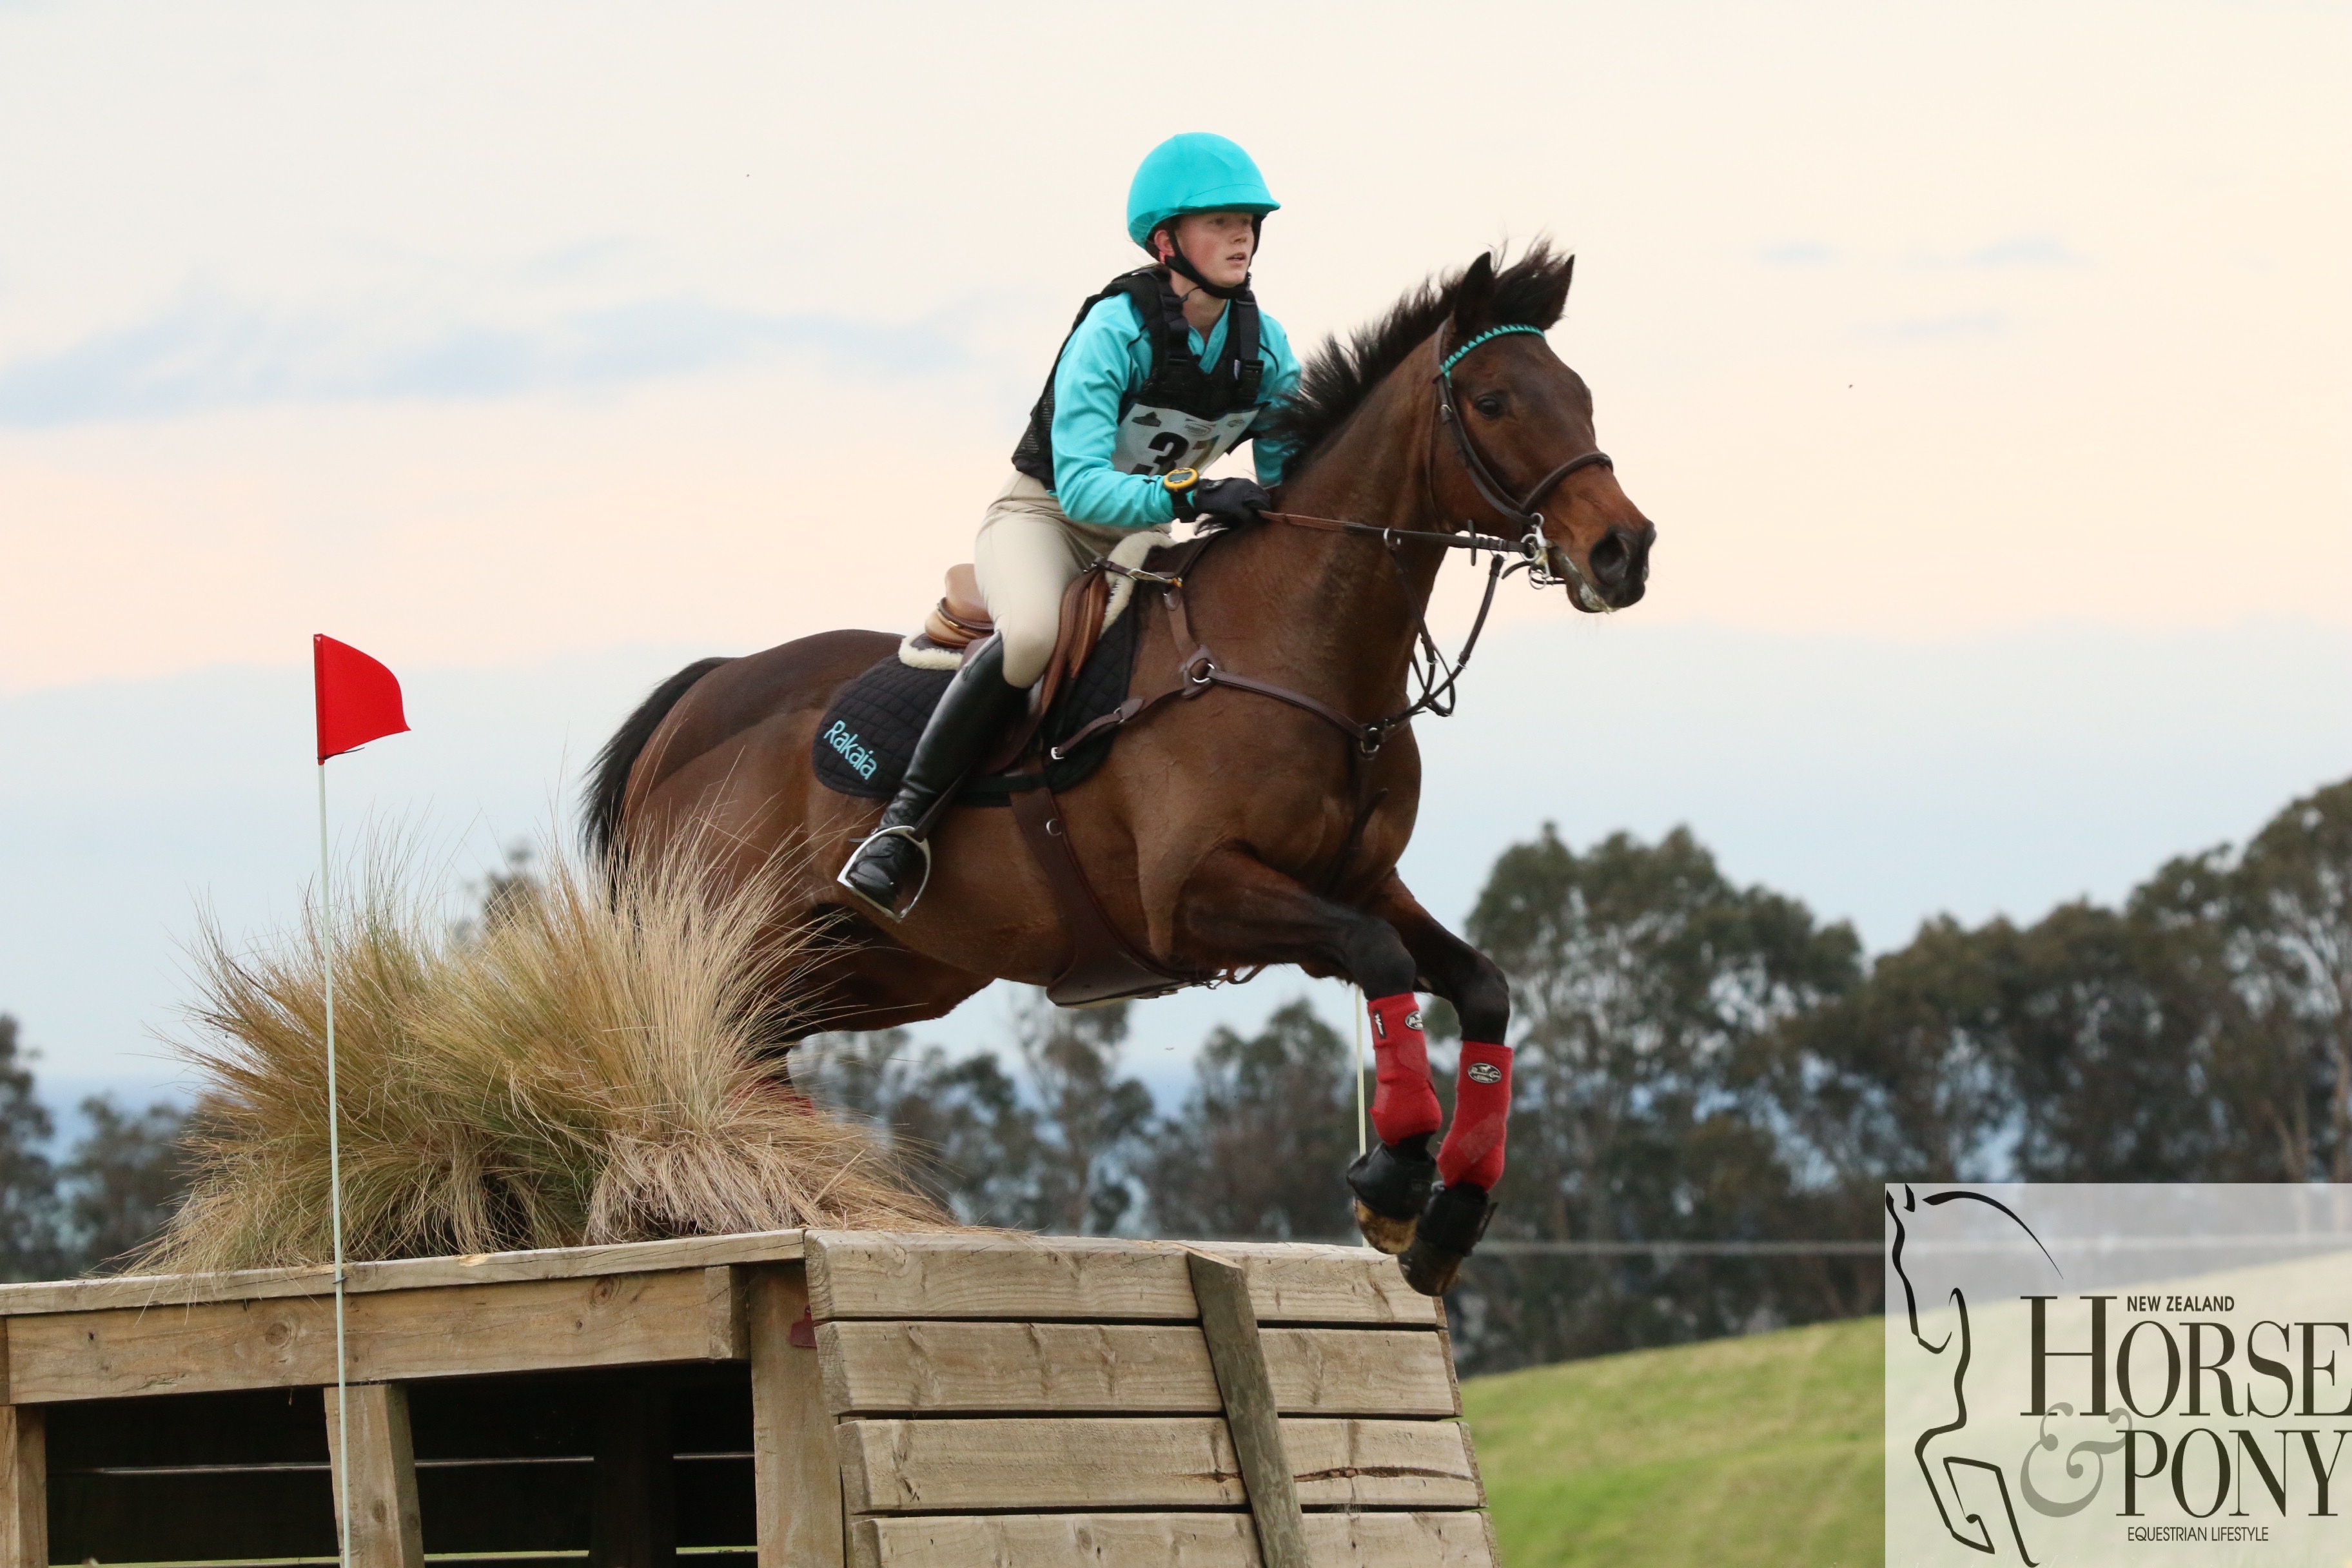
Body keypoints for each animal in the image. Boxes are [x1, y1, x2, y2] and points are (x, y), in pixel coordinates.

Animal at [585, 248, 1656, 1297]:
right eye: (1493, 402)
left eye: (1581, 396)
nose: (1625, 551)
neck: (1304, 653)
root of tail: (701, 694)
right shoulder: (1196, 896)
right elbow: (1385, 960)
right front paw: (1393, 1182)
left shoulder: (1355, 883)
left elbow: (1481, 986)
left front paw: (1452, 1212)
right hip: (743, 938)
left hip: (883, 967)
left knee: (763, 1056)